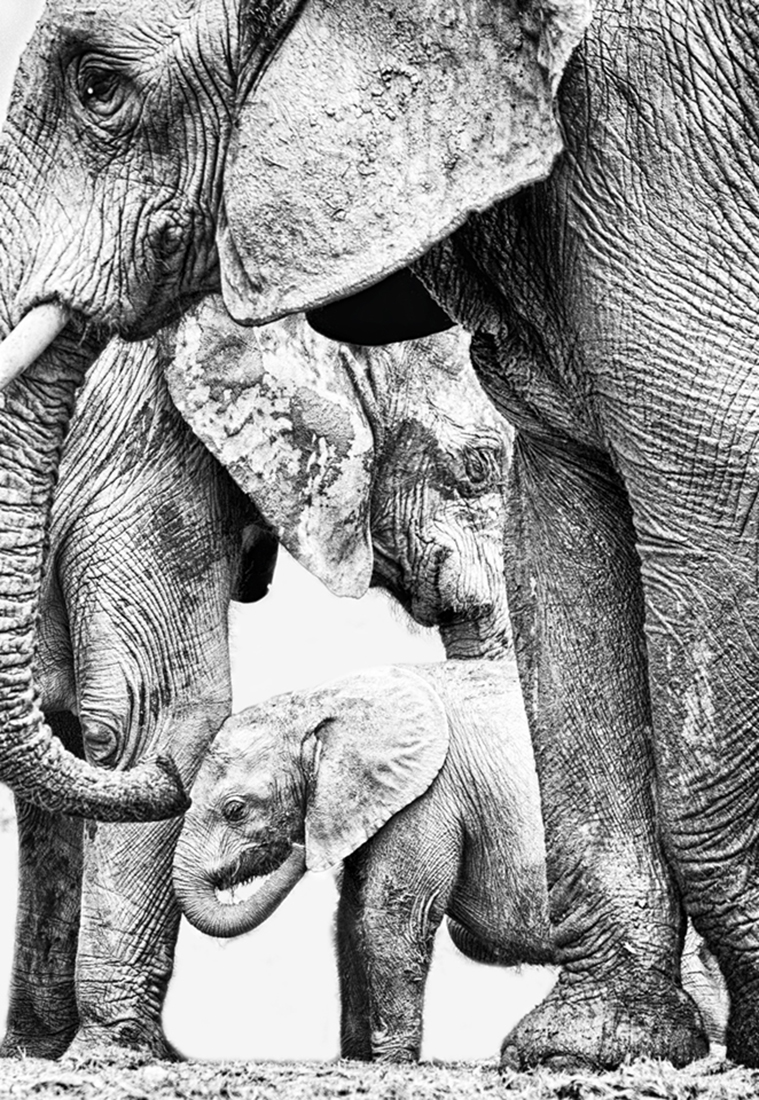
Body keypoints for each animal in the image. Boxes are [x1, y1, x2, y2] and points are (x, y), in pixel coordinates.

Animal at [173, 659, 728, 1062]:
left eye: (236, 809)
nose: (300, 848)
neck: (326, 698)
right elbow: (351, 919)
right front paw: (359, 1061)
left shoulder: (430, 794)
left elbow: (394, 915)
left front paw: (393, 1062)